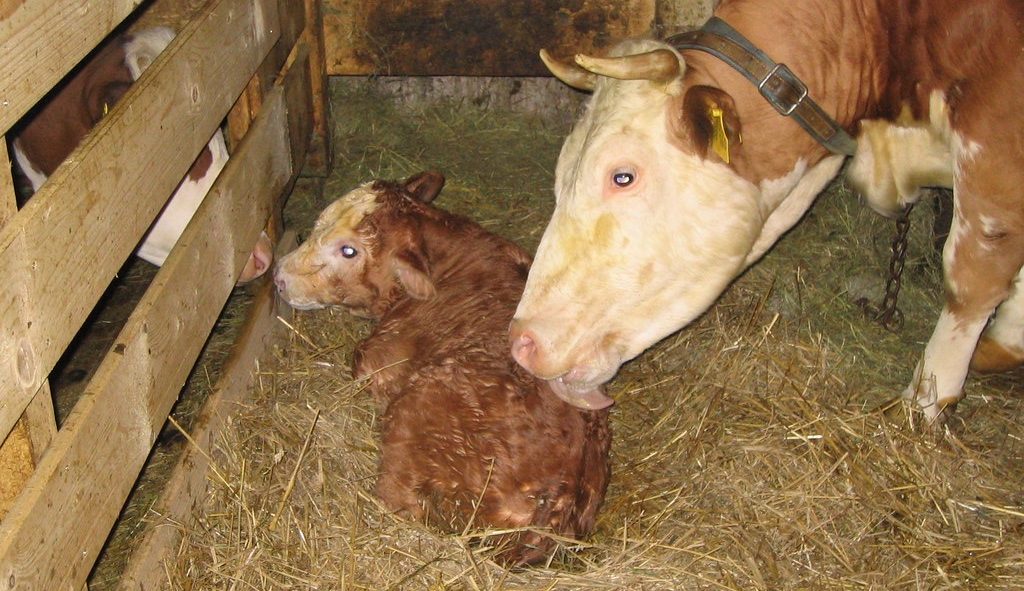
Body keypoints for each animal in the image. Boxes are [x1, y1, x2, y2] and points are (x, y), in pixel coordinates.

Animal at [274, 172, 612, 565]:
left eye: (349, 250)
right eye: (320, 220)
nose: (279, 276)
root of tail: (558, 499)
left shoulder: (377, 359)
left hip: (414, 412)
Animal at [508, 0, 1024, 425]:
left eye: (622, 176)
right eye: (561, 173)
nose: (521, 343)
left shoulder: (993, 145)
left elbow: (971, 275)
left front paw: (926, 399)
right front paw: (1003, 344)